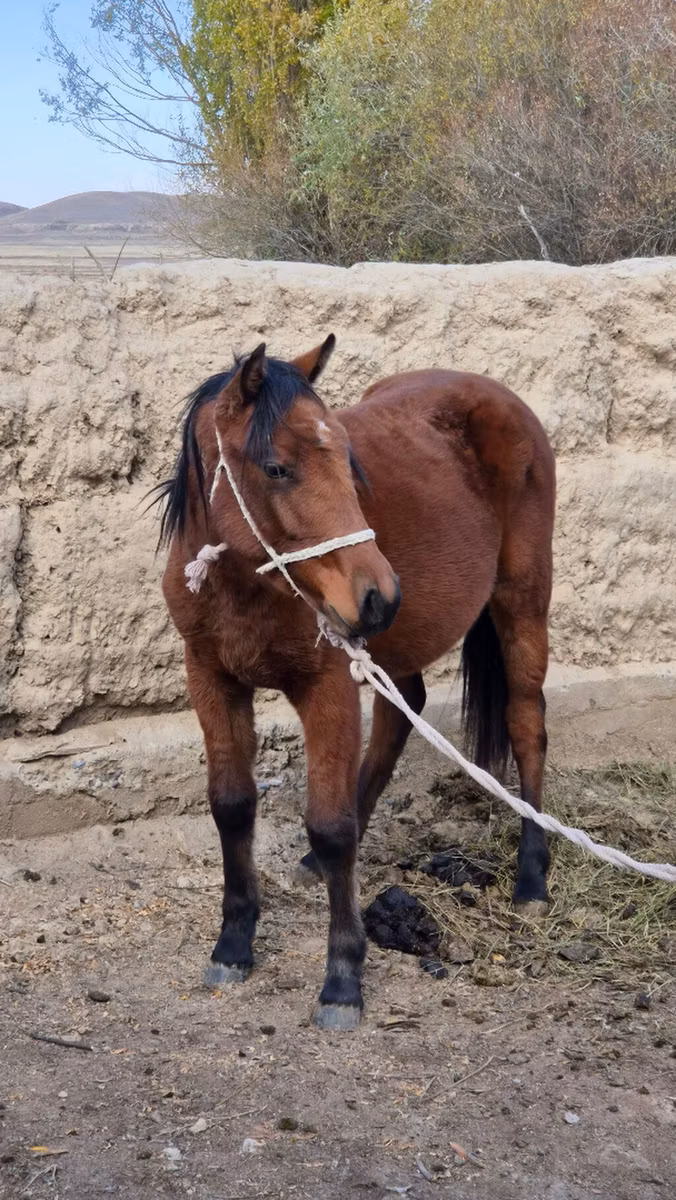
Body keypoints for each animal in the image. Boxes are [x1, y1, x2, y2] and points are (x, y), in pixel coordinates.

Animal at [156, 335, 555, 1031]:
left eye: (347, 460)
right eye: (276, 468)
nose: (381, 596)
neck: (246, 585)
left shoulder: (327, 688)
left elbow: (331, 822)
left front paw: (342, 978)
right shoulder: (211, 678)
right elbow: (232, 805)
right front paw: (233, 944)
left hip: (522, 605)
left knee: (526, 726)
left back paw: (532, 879)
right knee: (402, 713)